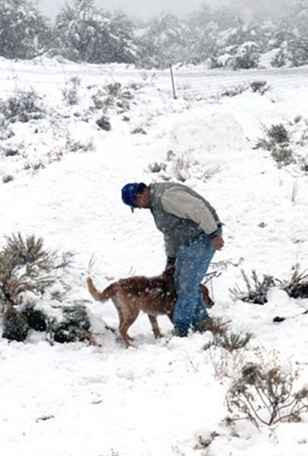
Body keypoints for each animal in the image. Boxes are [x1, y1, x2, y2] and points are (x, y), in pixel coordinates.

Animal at [85, 268, 213, 346]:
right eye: (206, 294)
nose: (213, 303)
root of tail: (116, 284)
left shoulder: (151, 314)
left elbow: (156, 328)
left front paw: (159, 338)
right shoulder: (171, 312)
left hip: (123, 312)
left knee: (121, 328)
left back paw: (129, 339)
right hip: (132, 313)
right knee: (122, 329)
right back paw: (129, 345)